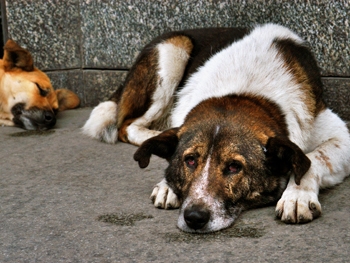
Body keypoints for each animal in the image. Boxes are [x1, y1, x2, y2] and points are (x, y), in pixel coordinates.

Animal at [83, 23, 350, 234]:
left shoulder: (340, 134)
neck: (241, 94)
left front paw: (297, 195)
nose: (194, 218)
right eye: (190, 160)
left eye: (234, 167)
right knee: (127, 125)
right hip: (173, 49)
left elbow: (314, 158)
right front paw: (167, 184)